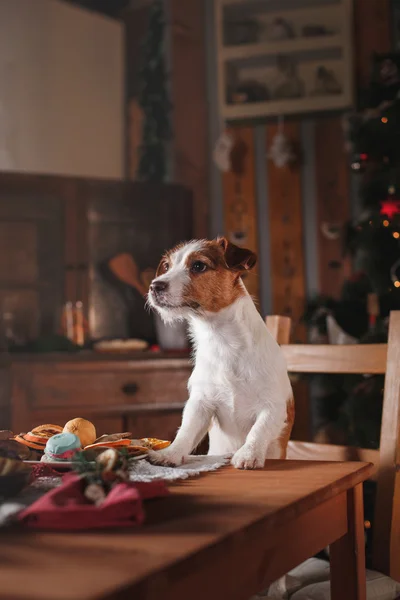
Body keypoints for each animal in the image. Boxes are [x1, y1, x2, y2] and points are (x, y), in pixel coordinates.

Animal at [147, 236, 294, 468]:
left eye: (198, 266)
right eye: (167, 266)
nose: (154, 285)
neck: (222, 340)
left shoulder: (275, 406)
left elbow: (258, 430)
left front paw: (248, 454)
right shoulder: (200, 402)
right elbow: (186, 431)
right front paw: (171, 453)